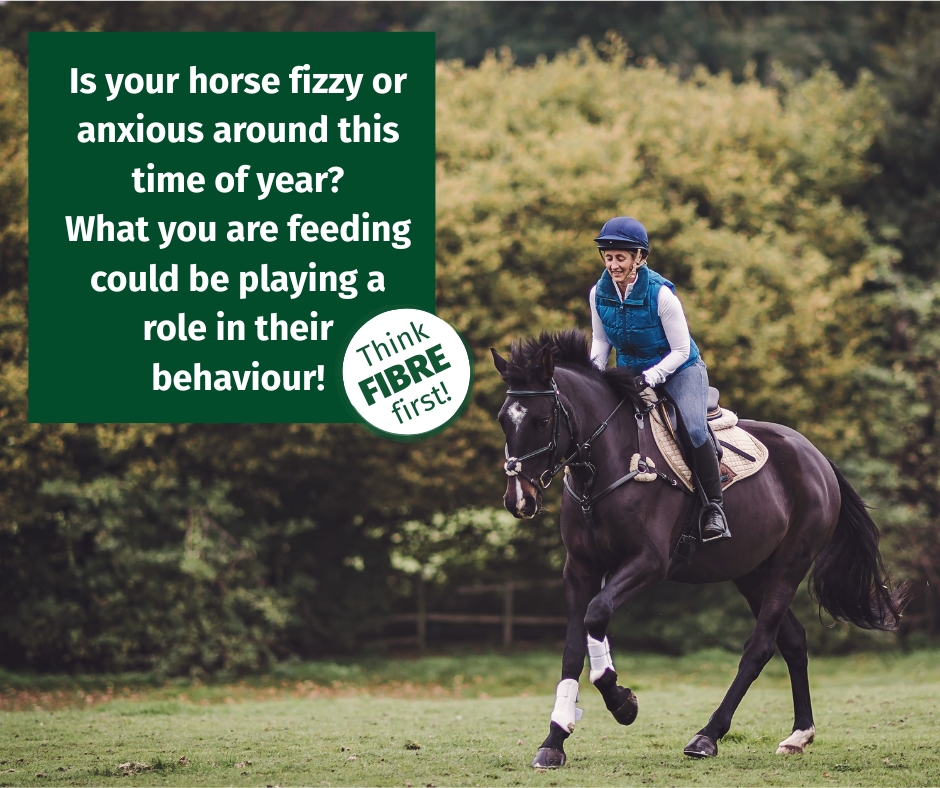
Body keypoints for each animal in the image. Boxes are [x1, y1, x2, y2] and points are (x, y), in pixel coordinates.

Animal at [492, 329, 906, 768]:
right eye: (503, 420)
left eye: (542, 420)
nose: (519, 500)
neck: (608, 463)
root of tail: (816, 456)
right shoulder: (581, 568)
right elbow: (575, 646)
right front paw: (555, 738)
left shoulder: (649, 563)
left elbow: (597, 615)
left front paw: (622, 703)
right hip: (751, 573)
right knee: (792, 640)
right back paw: (799, 734)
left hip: (789, 566)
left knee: (760, 647)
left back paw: (708, 735)